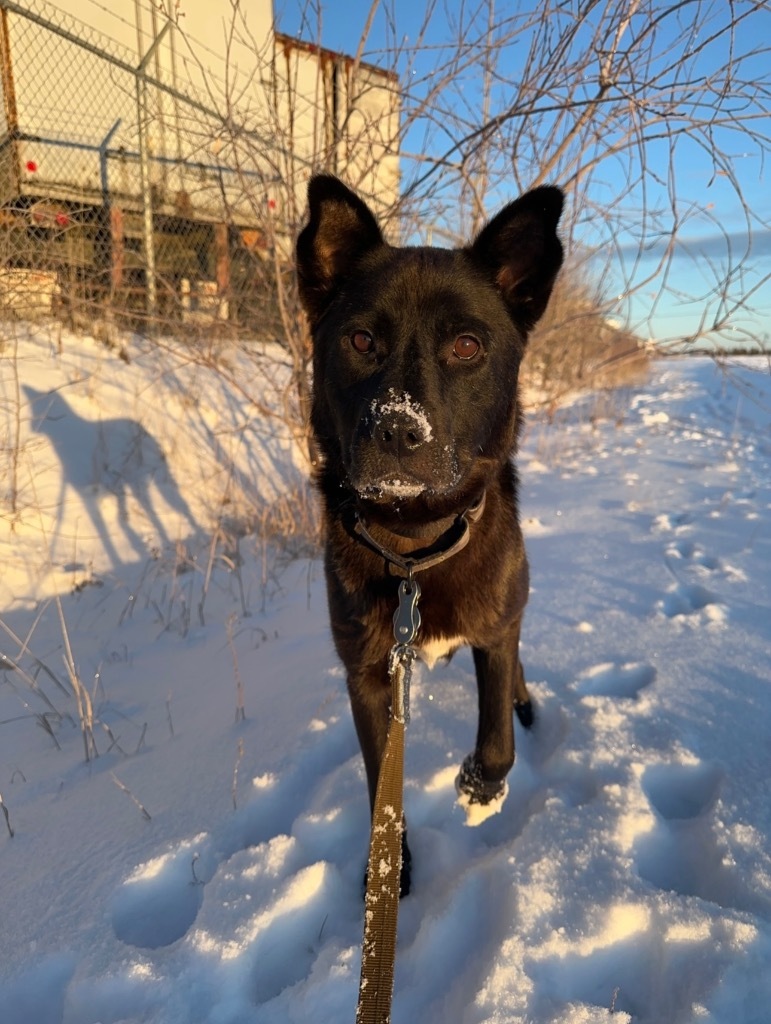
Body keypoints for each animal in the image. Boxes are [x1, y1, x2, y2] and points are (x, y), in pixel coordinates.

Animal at [296, 172, 561, 892]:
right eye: (360, 340)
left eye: (466, 346)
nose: (397, 429)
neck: (415, 547)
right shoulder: (366, 671)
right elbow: (377, 785)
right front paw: (388, 868)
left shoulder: (494, 630)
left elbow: (497, 736)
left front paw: (480, 788)